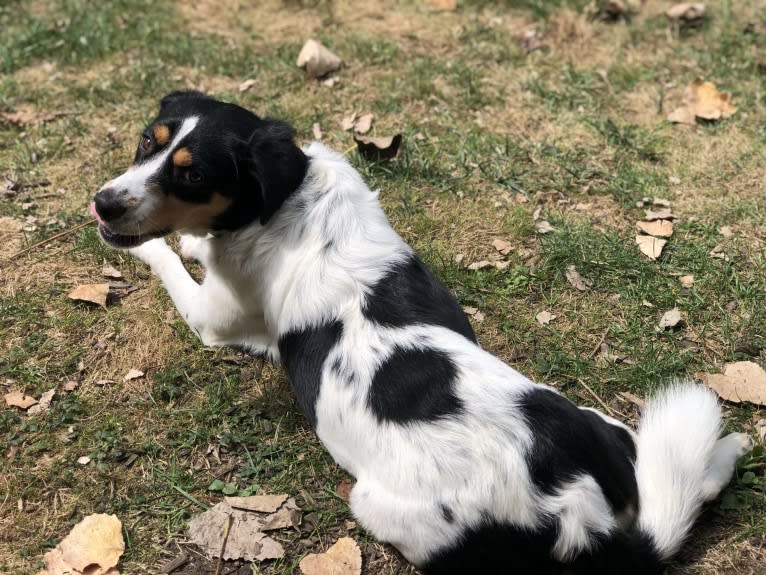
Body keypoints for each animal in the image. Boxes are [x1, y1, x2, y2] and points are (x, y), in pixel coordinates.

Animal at [91, 92, 756, 572]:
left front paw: (156, 247)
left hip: (378, 506)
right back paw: (728, 448)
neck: (288, 199)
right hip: (606, 425)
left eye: (193, 175)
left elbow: (166, 256)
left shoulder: (214, 317)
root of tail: (575, 514)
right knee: (678, 478)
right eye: (145, 143)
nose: (102, 203)